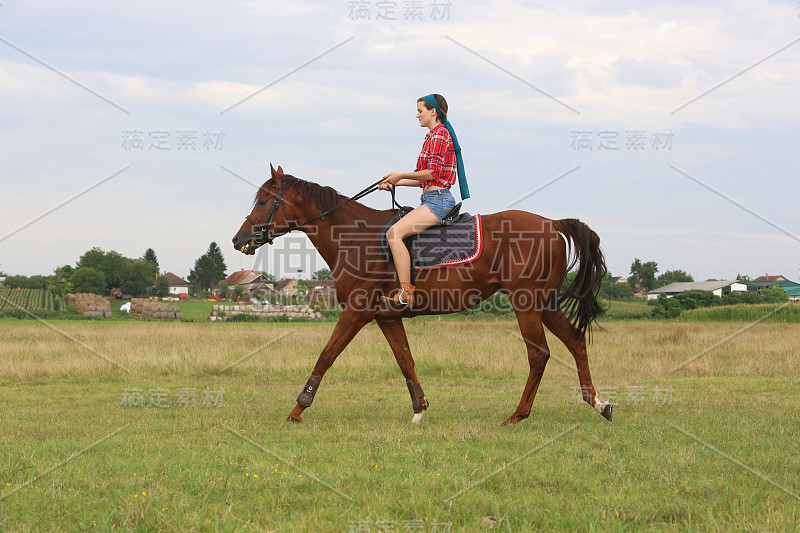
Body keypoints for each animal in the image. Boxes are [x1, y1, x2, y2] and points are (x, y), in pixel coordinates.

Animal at [231, 165, 612, 424]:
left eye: (263, 200)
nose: (238, 239)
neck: (353, 237)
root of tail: (553, 224)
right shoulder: (386, 317)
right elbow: (405, 360)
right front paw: (419, 409)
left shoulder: (356, 313)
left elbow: (326, 356)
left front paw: (298, 409)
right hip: (544, 303)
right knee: (575, 341)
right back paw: (598, 404)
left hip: (527, 303)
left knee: (539, 355)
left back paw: (517, 415)